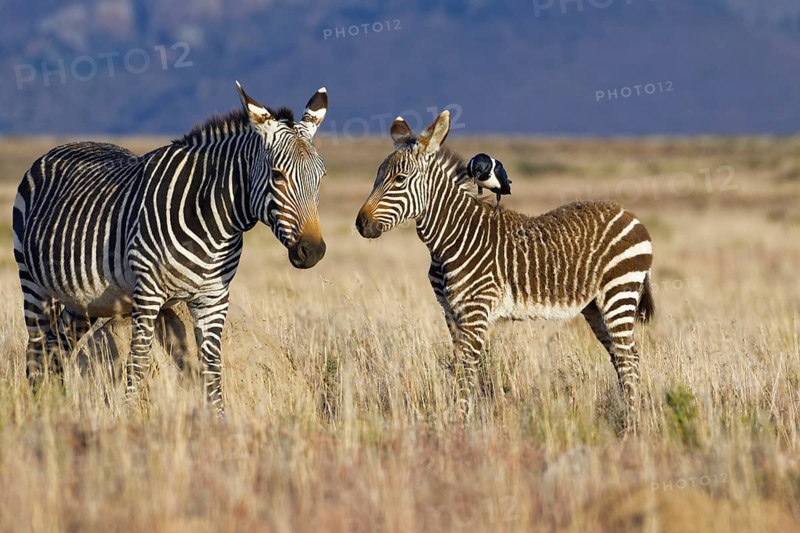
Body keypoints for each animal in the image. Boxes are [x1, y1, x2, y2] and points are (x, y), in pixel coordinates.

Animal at [13, 82, 329, 414]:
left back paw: (56, 404)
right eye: (277, 175)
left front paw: (219, 419)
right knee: (37, 348)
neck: (213, 221)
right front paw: (129, 417)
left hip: (82, 300)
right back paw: (39, 407)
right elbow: (137, 363)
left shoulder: (213, 299)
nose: (313, 250)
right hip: (33, 284)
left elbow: (212, 367)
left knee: (57, 347)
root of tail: (63, 146)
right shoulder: (147, 294)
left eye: (321, 177)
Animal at [355, 110, 654, 424]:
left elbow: (467, 369)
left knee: (628, 358)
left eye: (399, 179)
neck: (453, 237)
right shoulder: (450, 311)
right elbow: (459, 365)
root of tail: (629, 214)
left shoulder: (475, 310)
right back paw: (627, 415)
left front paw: (460, 423)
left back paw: (632, 423)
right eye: (377, 177)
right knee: (623, 357)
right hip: (595, 307)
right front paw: (462, 419)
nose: (361, 224)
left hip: (619, 292)